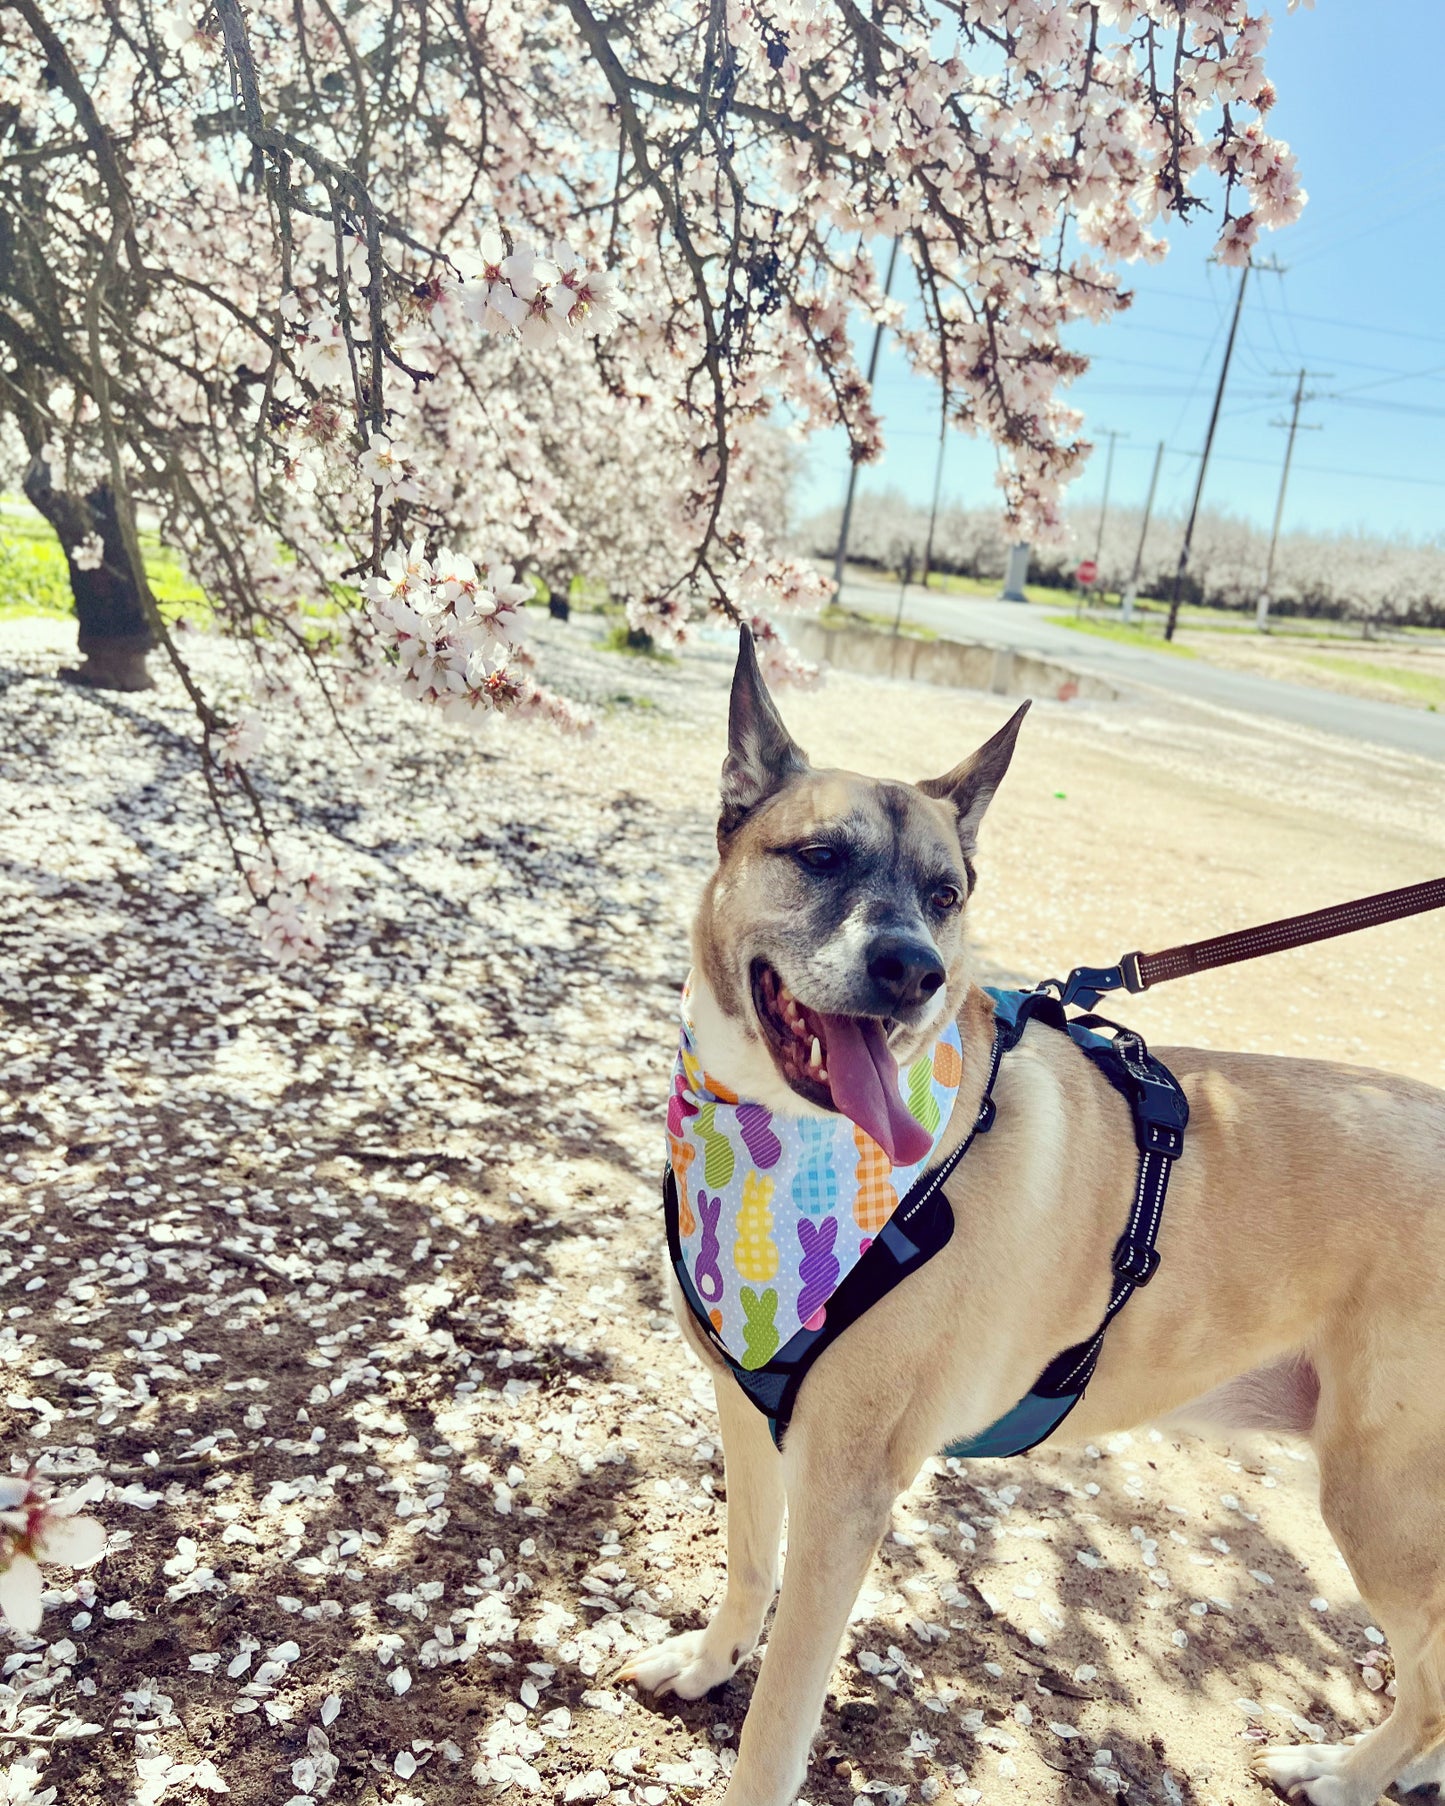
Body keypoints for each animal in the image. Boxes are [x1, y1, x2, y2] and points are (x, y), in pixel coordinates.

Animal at [617, 628, 1445, 1806]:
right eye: (818, 856)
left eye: (945, 892)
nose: (913, 971)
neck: (779, 1140)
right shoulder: (747, 1413)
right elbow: (744, 1565)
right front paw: (705, 1662)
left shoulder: (845, 1493)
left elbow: (776, 1728)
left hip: (1389, 1508)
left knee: (1429, 1690)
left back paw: (1339, 1774)